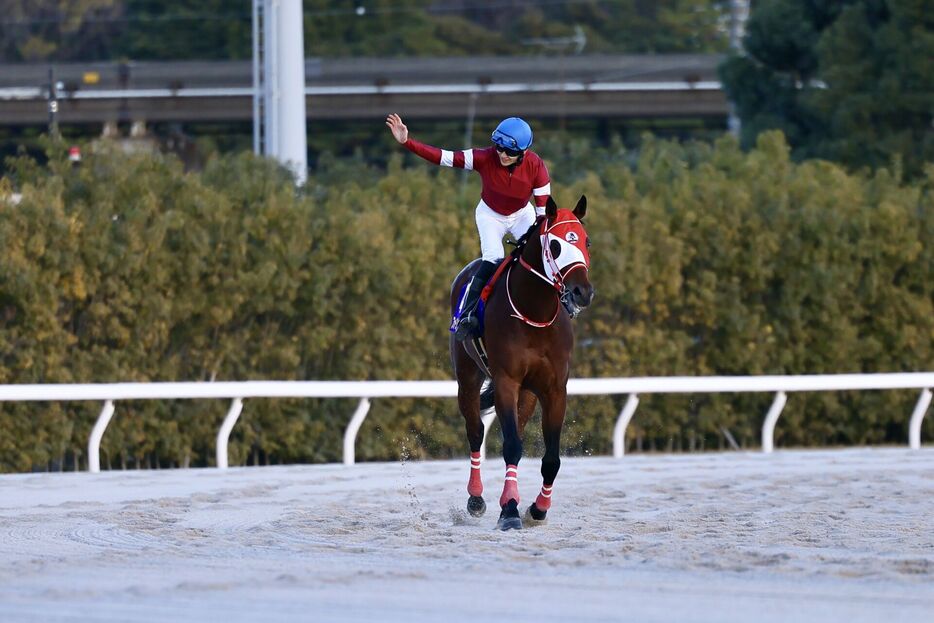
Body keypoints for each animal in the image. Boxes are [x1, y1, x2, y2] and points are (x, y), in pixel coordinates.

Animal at [452, 195, 596, 532]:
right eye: (555, 245)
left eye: (586, 241)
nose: (582, 292)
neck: (535, 312)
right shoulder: (506, 381)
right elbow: (511, 446)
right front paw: (509, 511)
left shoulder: (554, 389)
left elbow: (551, 458)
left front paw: (537, 509)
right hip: (467, 376)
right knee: (476, 431)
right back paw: (476, 498)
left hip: (528, 393)